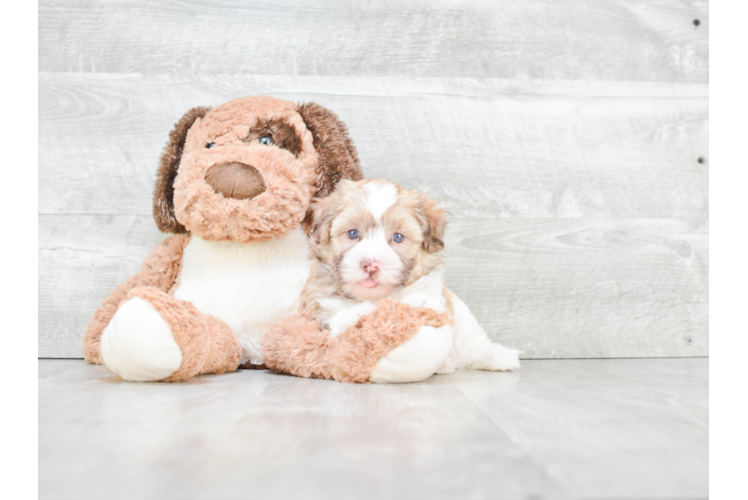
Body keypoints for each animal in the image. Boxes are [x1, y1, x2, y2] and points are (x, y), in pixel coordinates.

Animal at [296, 178, 520, 374]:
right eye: (352, 233)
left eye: (398, 237)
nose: (370, 264)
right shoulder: (319, 311)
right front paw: (360, 312)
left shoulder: (435, 293)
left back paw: (495, 356)